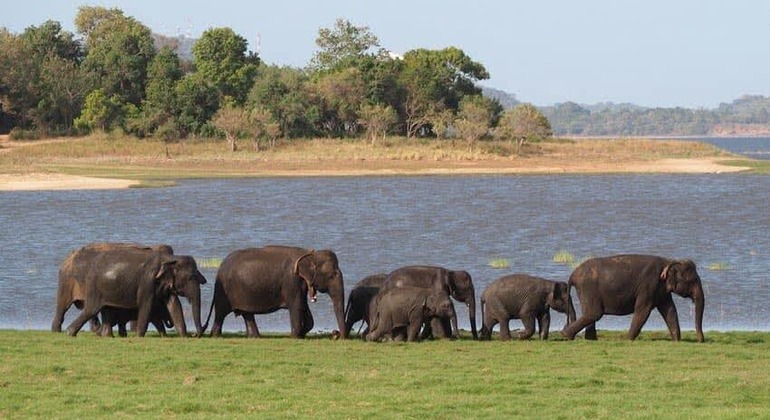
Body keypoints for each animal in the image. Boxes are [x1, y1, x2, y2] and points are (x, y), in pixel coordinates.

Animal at [62, 246, 207, 337]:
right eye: (190, 277)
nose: (194, 335)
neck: (170, 258)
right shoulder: (147, 281)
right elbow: (146, 305)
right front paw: (139, 336)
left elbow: (174, 304)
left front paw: (183, 336)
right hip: (95, 288)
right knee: (91, 309)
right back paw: (70, 333)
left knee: (106, 309)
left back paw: (107, 336)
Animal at [206, 245, 346, 339]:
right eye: (331, 276)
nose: (335, 334)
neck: (309, 254)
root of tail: (220, 267)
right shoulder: (291, 281)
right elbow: (296, 306)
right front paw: (294, 337)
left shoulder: (300, 284)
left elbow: (304, 306)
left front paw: (300, 334)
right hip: (223, 291)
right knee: (220, 313)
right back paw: (215, 336)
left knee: (247, 314)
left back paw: (255, 337)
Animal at [561, 254, 705, 342]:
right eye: (691, 280)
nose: (701, 340)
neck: (668, 261)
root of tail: (572, 275)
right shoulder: (648, 286)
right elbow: (643, 310)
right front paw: (628, 339)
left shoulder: (661, 291)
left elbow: (670, 310)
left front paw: (676, 340)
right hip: (588, 289)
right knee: (594, 313)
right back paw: (565, 335)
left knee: (591, 314)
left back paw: (589, 339)